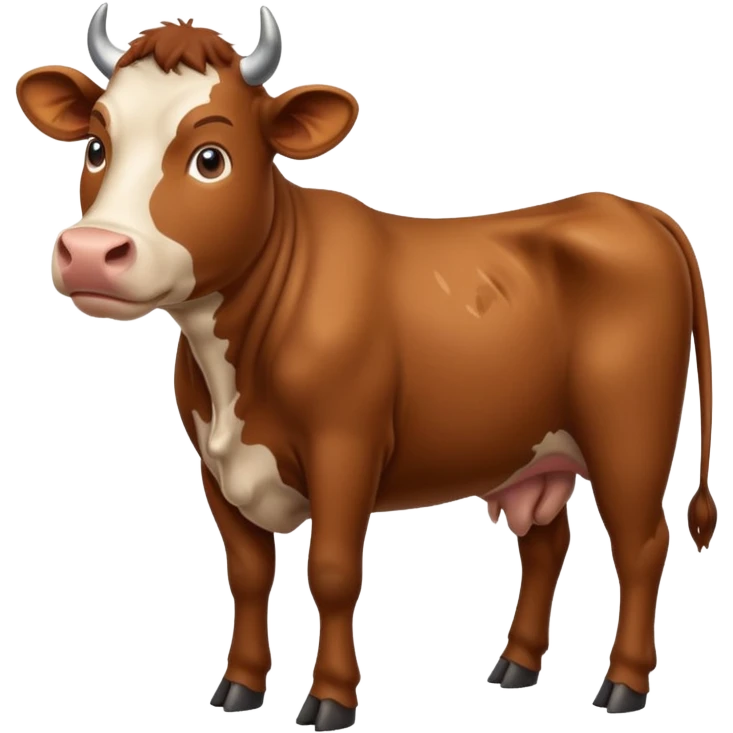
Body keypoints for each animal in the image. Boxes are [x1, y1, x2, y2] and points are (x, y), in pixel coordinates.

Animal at [15, 3, 717, 728]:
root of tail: (628, 209)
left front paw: (329, 696)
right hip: (535, 450)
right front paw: (238, 685)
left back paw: (623, 684)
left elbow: (330, 573)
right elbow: (247, 573)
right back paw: (516, 665)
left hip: (629, 437)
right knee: (546, 544)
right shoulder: (213, 460)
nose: (90, 252)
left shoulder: (345, 447)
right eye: (96, 147)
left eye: (211, 158)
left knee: (641, 546)